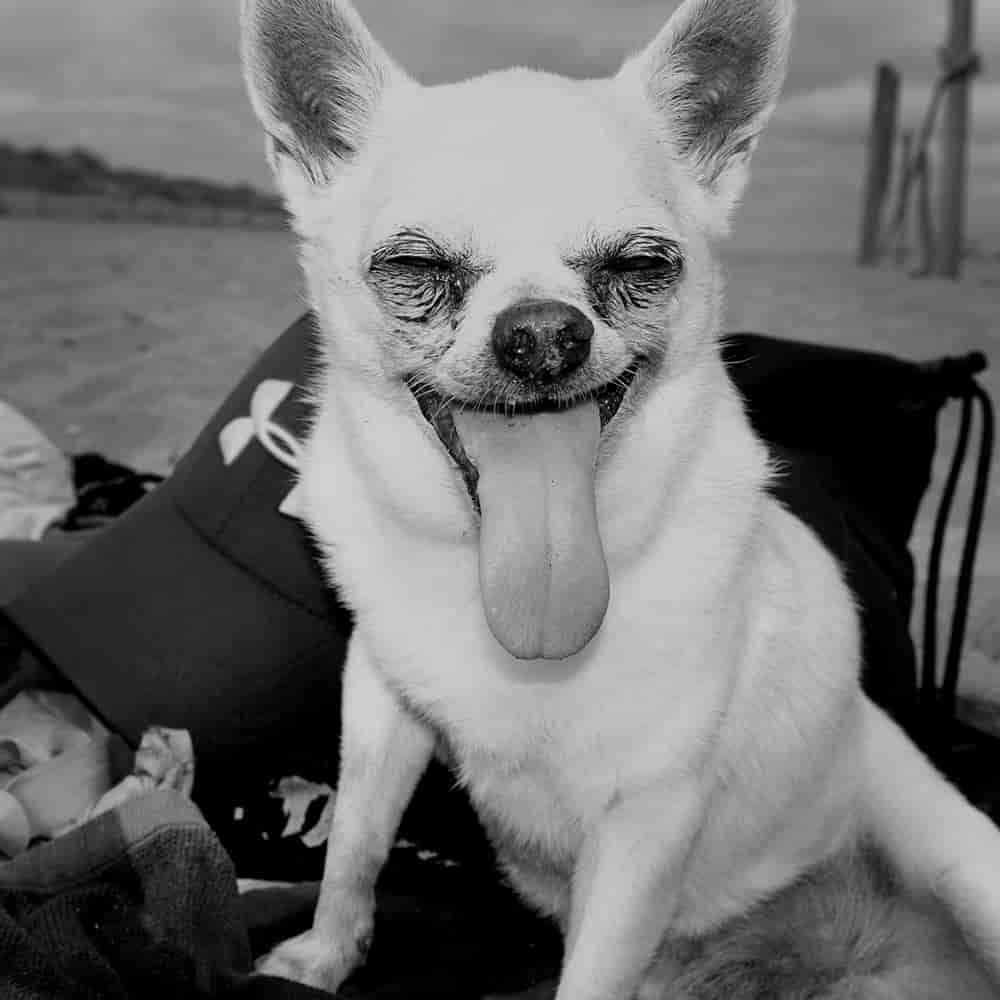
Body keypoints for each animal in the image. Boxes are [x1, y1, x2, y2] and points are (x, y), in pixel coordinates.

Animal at [238, 3, 1000, 996]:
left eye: (642, 266)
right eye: (415, 266)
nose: (541, 333)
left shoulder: (644, 828)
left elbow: (590, 976)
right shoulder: (380, 712)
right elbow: (354, 852)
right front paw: (324, 957)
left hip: (963, 867)